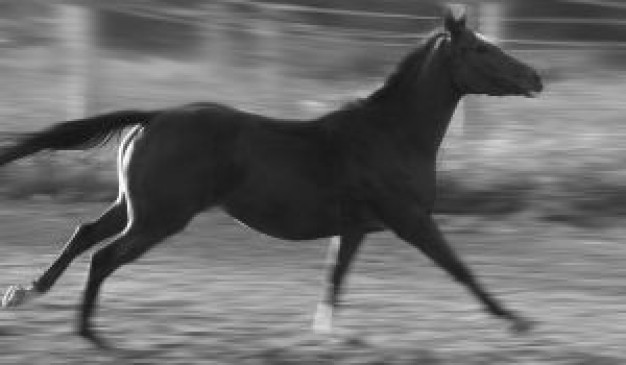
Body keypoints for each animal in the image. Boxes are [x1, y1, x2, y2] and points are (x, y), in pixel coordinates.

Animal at [0, 6, 540, 346]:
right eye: (482, 50)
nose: (536, 77)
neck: (389, 134)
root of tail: (155, 116)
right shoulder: (410, 219)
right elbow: (459, 268)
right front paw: (516, 321)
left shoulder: (356, 228)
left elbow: (334, 278)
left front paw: (330, 332)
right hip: (159, 219)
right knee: (103, 257)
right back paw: (88, 333)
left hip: (137, 207)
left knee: (84, 232)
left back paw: (25, 294)